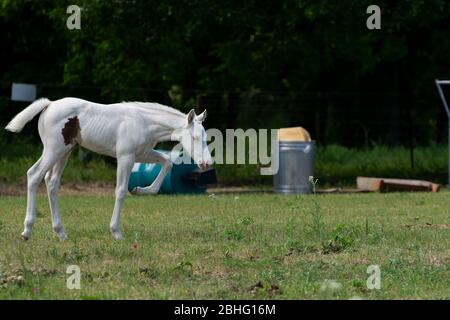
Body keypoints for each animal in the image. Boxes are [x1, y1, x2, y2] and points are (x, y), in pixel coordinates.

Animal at [4, 97, 213, 240]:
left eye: (205, 136)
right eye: (194, 137)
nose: (207, 163)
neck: (142, 122)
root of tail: (49, 104)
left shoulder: (142, 154)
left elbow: (167, 162)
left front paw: (141, 190)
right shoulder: (125, 158)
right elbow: (120, 191)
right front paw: (117, 232)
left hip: (65, 151)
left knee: (51, 182)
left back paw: (61, 233)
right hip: (53, 149)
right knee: (34, 175)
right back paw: (27, 230)